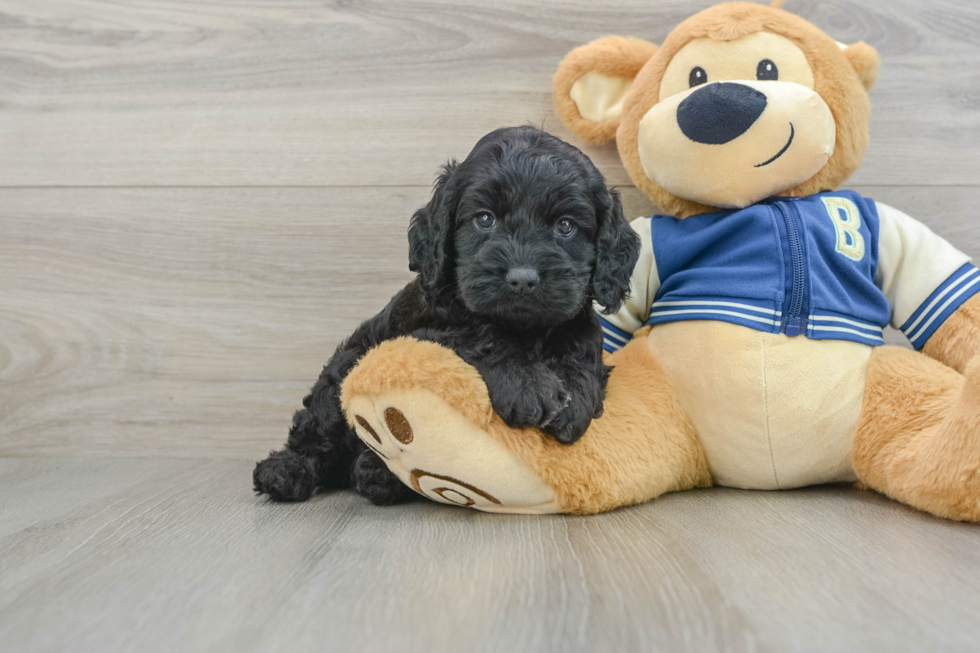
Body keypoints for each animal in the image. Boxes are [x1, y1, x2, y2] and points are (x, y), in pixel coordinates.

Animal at [251, 127, 644, 504]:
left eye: (565, 226)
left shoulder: (578, 324)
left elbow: (581, 349)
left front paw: (573, 398)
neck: (524, 329)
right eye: (484, 219)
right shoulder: (421, 334)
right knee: (316, 432)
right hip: (346, 367)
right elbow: (479, 334)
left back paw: (375, 474)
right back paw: (285, 471)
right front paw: (528, 384)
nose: (522, 278)